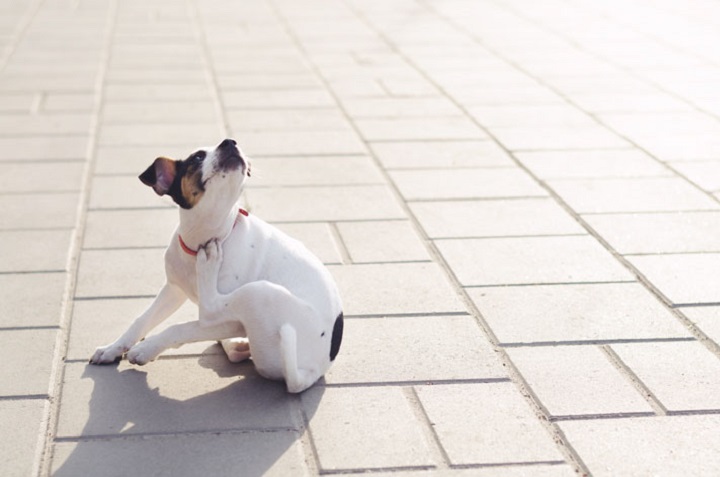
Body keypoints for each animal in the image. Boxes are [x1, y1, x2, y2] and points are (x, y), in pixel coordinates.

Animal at [89, 137, 344, 390]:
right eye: (197, 157)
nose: (230, 142)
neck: (204, 239)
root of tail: (309, 373)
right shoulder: (174, 290)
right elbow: (141, 320)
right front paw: (112, 348)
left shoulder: (228, 321)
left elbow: (181, 328)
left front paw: (145, 349)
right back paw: (237, 345)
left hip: (258, 292)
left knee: (209, 308)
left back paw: (209, 266)